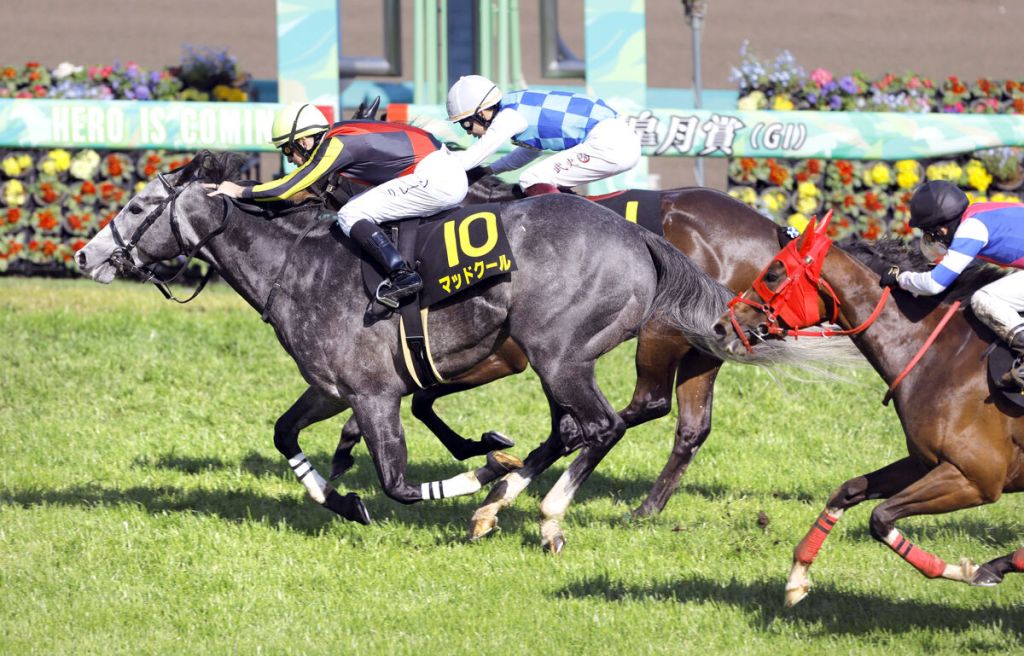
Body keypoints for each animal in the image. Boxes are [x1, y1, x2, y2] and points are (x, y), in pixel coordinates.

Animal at [74, 150, 742, 528]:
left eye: (137, 206)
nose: (84, 255)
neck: (297, 263)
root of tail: (641, 237)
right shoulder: (332, 389)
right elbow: (285, 433)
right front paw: (343, 501)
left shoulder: (373, 395)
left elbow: (397, 483)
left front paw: (481, 469)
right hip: (560, 360)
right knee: (582, 427)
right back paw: (505, 502)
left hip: (558, 355)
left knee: (602, 425)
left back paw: (539, 511)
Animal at [331, 175, 855, 551]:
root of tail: (775, 232)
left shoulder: (511, 356)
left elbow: (423, 397)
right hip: (707, 345)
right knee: (689, 426)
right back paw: (644, 508)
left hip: (662, 333)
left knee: (645, 405)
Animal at [711, 213, 1024, 605]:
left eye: (772, 273)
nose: (721, 326)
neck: (938, 354)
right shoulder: (926, 463)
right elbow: (847, 491)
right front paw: (797, 576)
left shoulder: (975, 478)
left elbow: (880, 516)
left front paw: (968, 571)